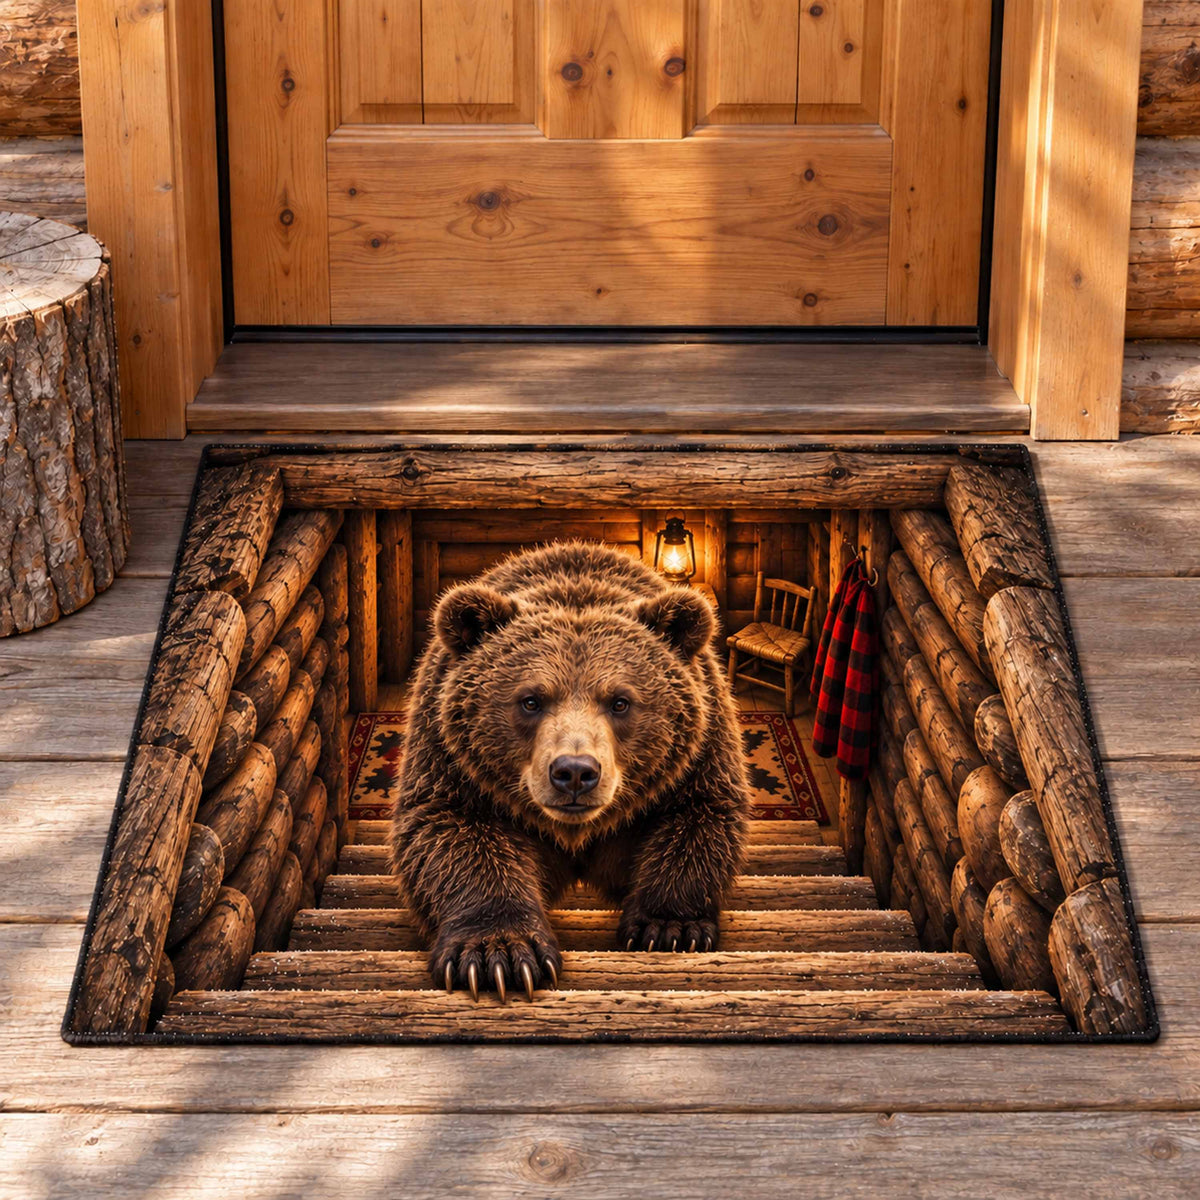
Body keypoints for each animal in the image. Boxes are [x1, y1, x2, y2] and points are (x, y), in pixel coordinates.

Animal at [389, 540, 751, 1001]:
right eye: (530, 700)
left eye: (620, 701)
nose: (575, 772)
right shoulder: (449, 757)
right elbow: (446, 830)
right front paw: (498, 955)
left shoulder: (698, 751)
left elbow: (700, 815)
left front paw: (669, 927)